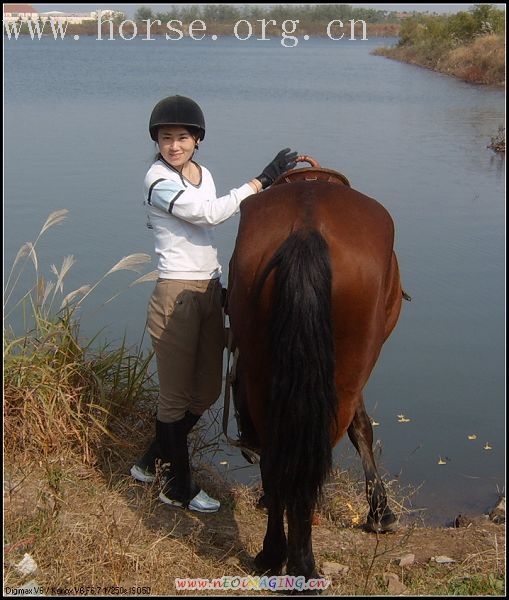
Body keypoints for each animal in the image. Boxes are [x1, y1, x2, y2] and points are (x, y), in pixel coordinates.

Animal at [226, 162, 404, 584]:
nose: (245, 449)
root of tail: (307, 229)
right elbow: (362, 429)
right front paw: (380, 512)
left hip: (264, 376)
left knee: (280, 457)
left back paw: (278, 555)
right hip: (344, 378)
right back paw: (296, 562)